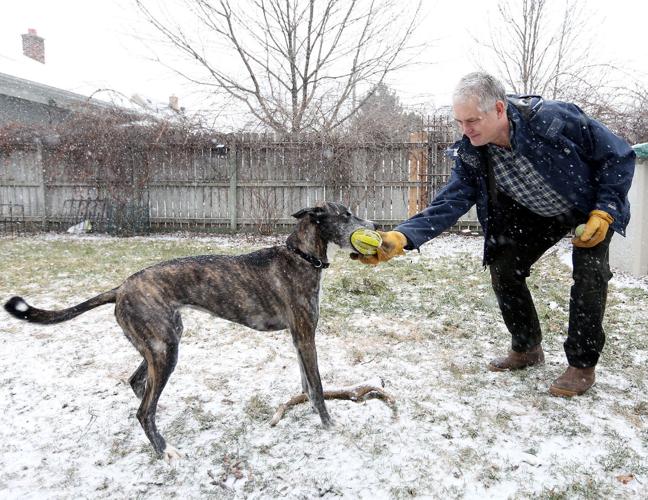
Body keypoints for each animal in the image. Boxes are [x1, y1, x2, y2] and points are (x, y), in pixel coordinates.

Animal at [3, 201, 374, 458]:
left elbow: (307, 385)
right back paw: (165, 451)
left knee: (138, 385)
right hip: (164, 348)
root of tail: (120, 288)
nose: (373, 225)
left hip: (160, 343)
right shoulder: (306, 336)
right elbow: (319, 385)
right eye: (346, 214)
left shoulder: (298, 338)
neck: (300, 256)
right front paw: (329, 425)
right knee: (143, 409)